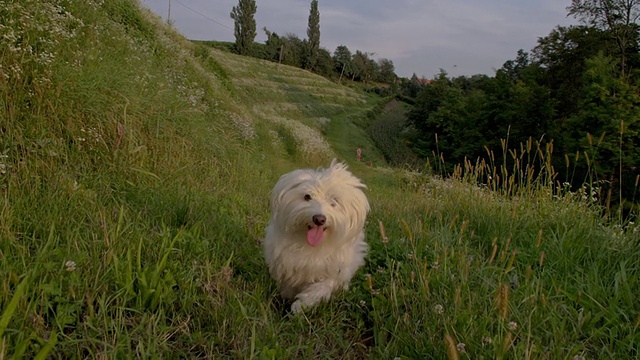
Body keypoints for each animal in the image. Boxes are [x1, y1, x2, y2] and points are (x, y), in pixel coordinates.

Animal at [264, 159, 370, 314]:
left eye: (334, 201)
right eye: (307, 196)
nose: (319, 219)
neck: (312, 246)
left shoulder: (334, 270)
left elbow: (320, 288)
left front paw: (300, 306)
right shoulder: (284, 262)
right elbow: (286, 285)